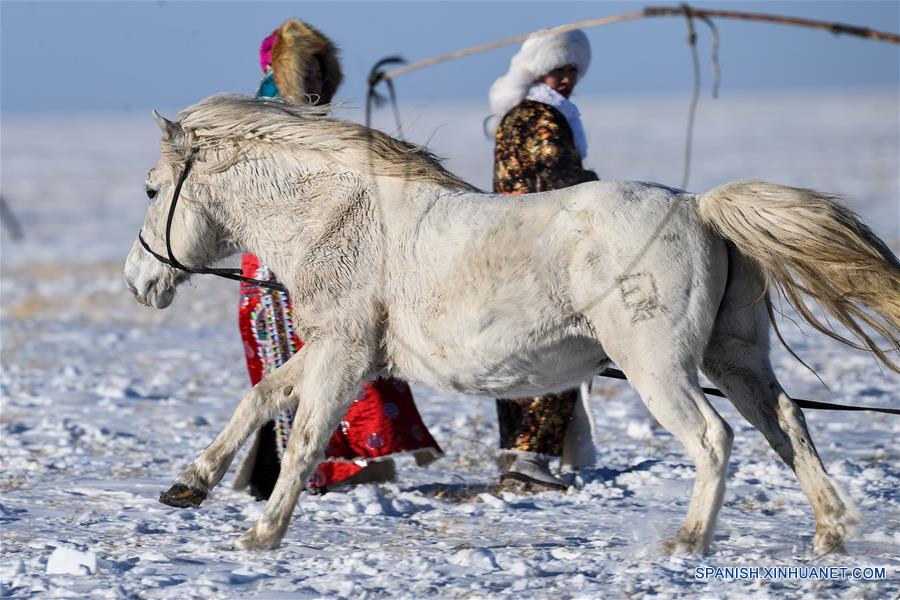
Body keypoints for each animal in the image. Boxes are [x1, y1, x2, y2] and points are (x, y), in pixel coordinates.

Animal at [123, 95, 896, 552]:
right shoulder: (343, 351)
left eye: (153, 191)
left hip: (659, 367)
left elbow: (307, 435)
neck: (339, 217)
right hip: (733, 359)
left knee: (714, 439)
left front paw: (262, 532)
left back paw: (687, 541)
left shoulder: (344, 354)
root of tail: (699, 207)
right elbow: (260, 398)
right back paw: (830, 533)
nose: (138, 282)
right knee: (788, 424)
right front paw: (188, 486)